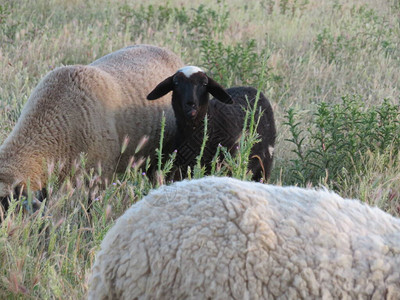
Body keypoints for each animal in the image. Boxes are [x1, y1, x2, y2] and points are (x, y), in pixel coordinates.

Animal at [146, 66, 276, 182]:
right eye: (176, 83)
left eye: (204, 84)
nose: (191, 104)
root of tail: (250, 88)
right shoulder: (183, 168)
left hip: (265, 164)